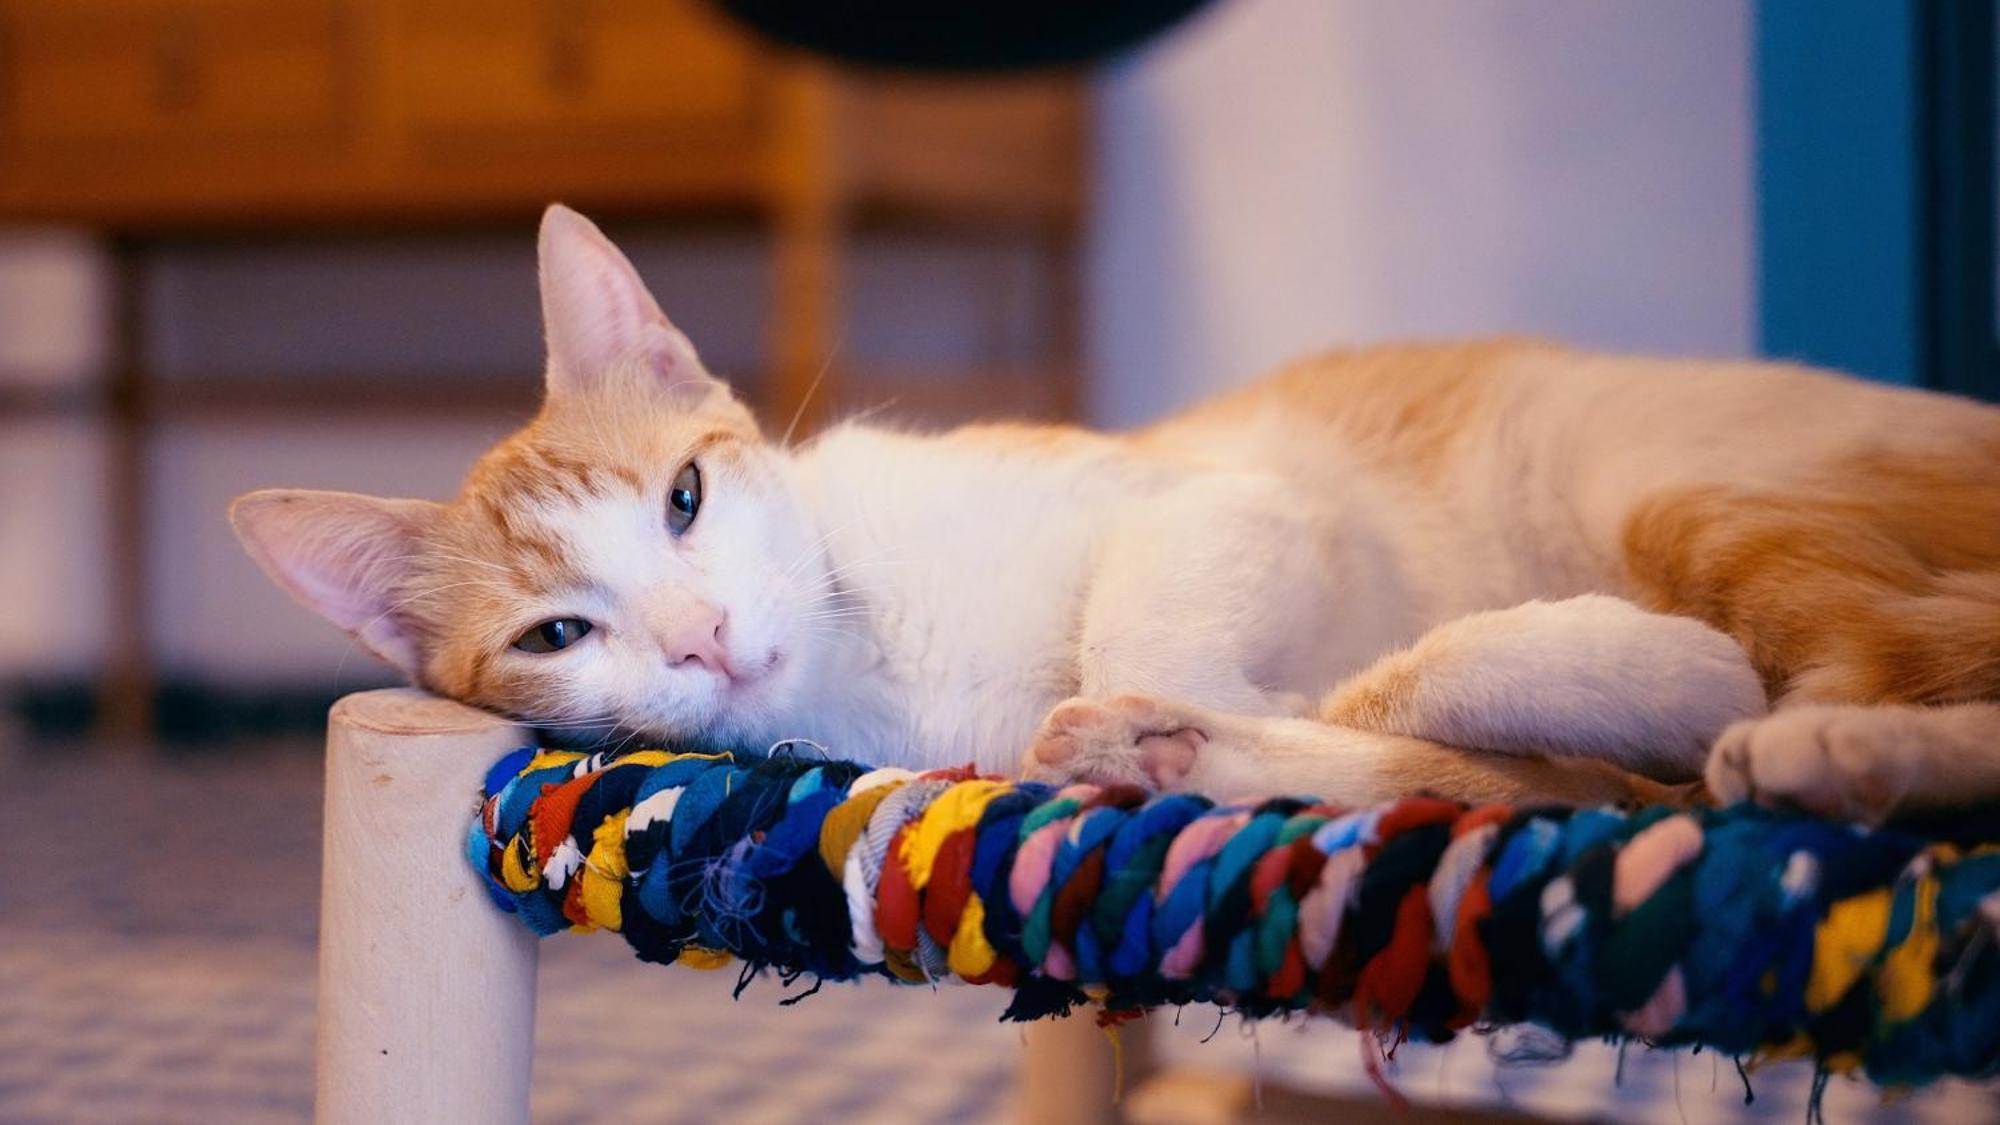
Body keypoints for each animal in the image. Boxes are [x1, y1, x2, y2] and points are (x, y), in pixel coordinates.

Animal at [227, 206, 2000, 820]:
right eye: (556, 632)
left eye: (684, 496)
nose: (708, 633)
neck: (882, 657)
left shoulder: (1223, 494)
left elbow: (1167, 632)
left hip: (1658, 476)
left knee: (1894, 653)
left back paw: (1825, 740)